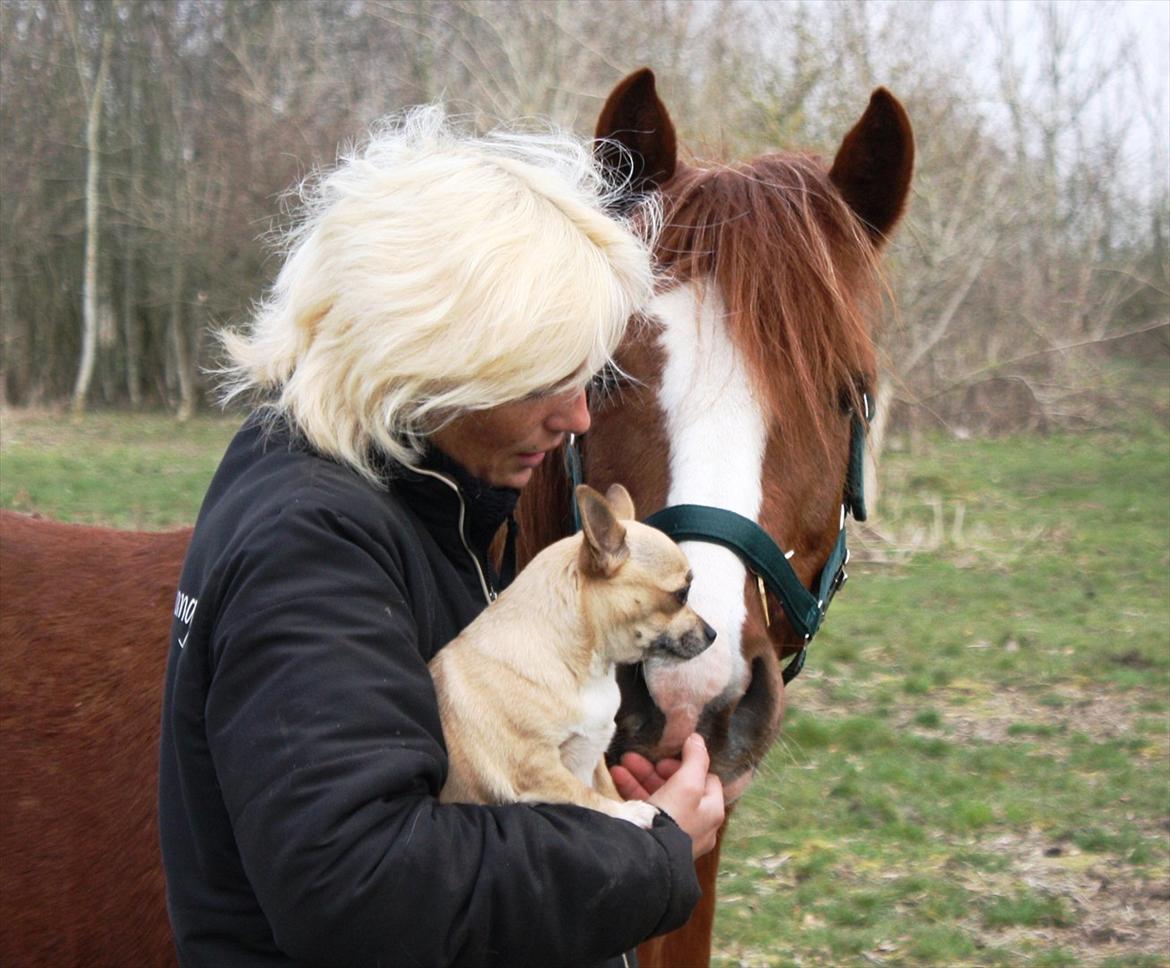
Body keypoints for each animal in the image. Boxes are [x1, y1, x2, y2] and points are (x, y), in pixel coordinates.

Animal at [432, 484, 711, 824]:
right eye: (682, 594)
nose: (712, 633)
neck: (588, 669)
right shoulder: (538, 768)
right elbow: (586, 797)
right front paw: (630, 811)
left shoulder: (594, 757)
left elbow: (604, 788)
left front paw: (623, 803)